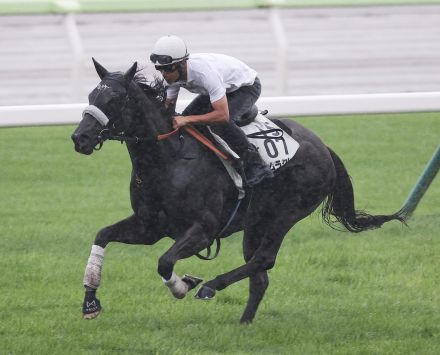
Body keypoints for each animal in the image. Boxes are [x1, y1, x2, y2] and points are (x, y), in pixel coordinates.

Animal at [72, 59, 406, 324]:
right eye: (91, 95)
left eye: (115, 98)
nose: (80, 138)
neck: (170, 158)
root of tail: (322, 146)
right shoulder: (149, 226)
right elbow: (102, 235)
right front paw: (90, 303)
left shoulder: (202, 231)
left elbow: (164, 262)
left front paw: (185, 285)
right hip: (257, 221)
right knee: (260, 275)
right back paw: (244, 322)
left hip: (287, 214)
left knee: (264, 260)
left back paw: (211, 287)